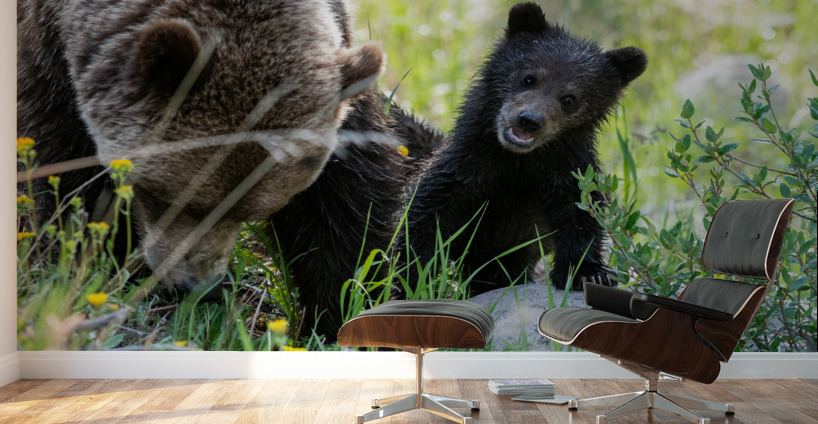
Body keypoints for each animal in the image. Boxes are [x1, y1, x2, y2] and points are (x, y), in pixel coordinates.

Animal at [17, 0, 385, 293]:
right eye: (162, 197)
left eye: (250, 212)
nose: (197, 286)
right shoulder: (47, 60)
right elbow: (65, 173)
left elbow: (348, 200)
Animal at [403, 2, 648, 294]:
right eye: (529, 78)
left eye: (570, 98)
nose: (529, 120)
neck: (518, 161)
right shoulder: (465, 168)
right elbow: (424, 217)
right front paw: (414, 277)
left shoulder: (563, 171)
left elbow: (581, 215)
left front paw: (587, 272)